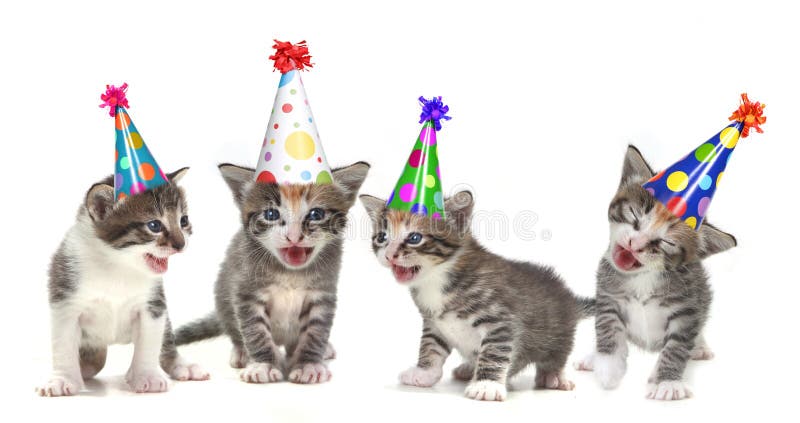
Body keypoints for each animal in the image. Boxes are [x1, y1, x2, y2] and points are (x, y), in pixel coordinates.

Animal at [36, 169, 209, 398]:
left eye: (183, 220)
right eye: (154, 225)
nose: (181, 245)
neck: (117, 263)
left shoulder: (153, 305)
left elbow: (149, 343)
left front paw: (147, 376)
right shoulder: (65, 299)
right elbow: (63, 344)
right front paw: (62, 379)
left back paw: (180, 366)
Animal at [175, 161, 368, 384]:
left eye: (316, 214)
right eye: (271, 215)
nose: (294, 237)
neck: (290, 273)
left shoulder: (323, 293)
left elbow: (315, 332)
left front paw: (308, 364)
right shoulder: (246, 291)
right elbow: (255, 331)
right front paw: (264, 364)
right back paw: (242, 352)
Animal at [360, 190, 592, 402]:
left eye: (414, 238)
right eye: (382, 237)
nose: (389, 255)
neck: (437, 278)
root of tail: (569, 298)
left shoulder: (501, 321)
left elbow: (494, 352)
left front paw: (487, 385)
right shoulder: (434, 324)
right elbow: (431, 348)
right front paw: (424, 373)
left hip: (557, 334)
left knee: (555, 356)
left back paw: (553, 376)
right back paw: (468, 367)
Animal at [576, 147, 736, 402]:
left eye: (666, 242)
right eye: (634, 215)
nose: (635, 243)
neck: (643, 277)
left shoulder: (687, 309)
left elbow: (677, 346)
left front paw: (667, 382)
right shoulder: (607, 296)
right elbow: (607, 328)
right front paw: (608, 366)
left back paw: (699, 347)